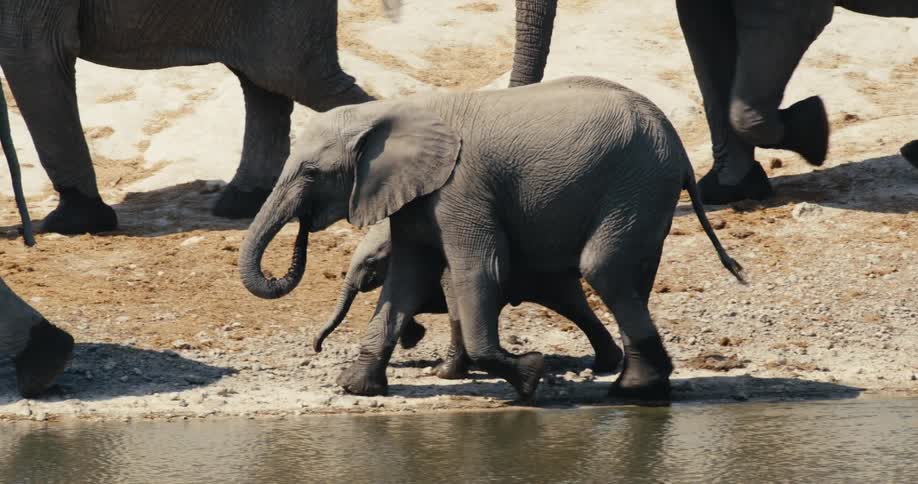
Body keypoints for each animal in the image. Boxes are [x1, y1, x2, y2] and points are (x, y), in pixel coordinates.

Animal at [312, 218, 625, 378]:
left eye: (371, 263)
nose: (317, 348)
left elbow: (448, 305)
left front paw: (444, 370)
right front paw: (413, 339)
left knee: (573, 307)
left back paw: (607, 364)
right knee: (577, 308)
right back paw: (608, 363)